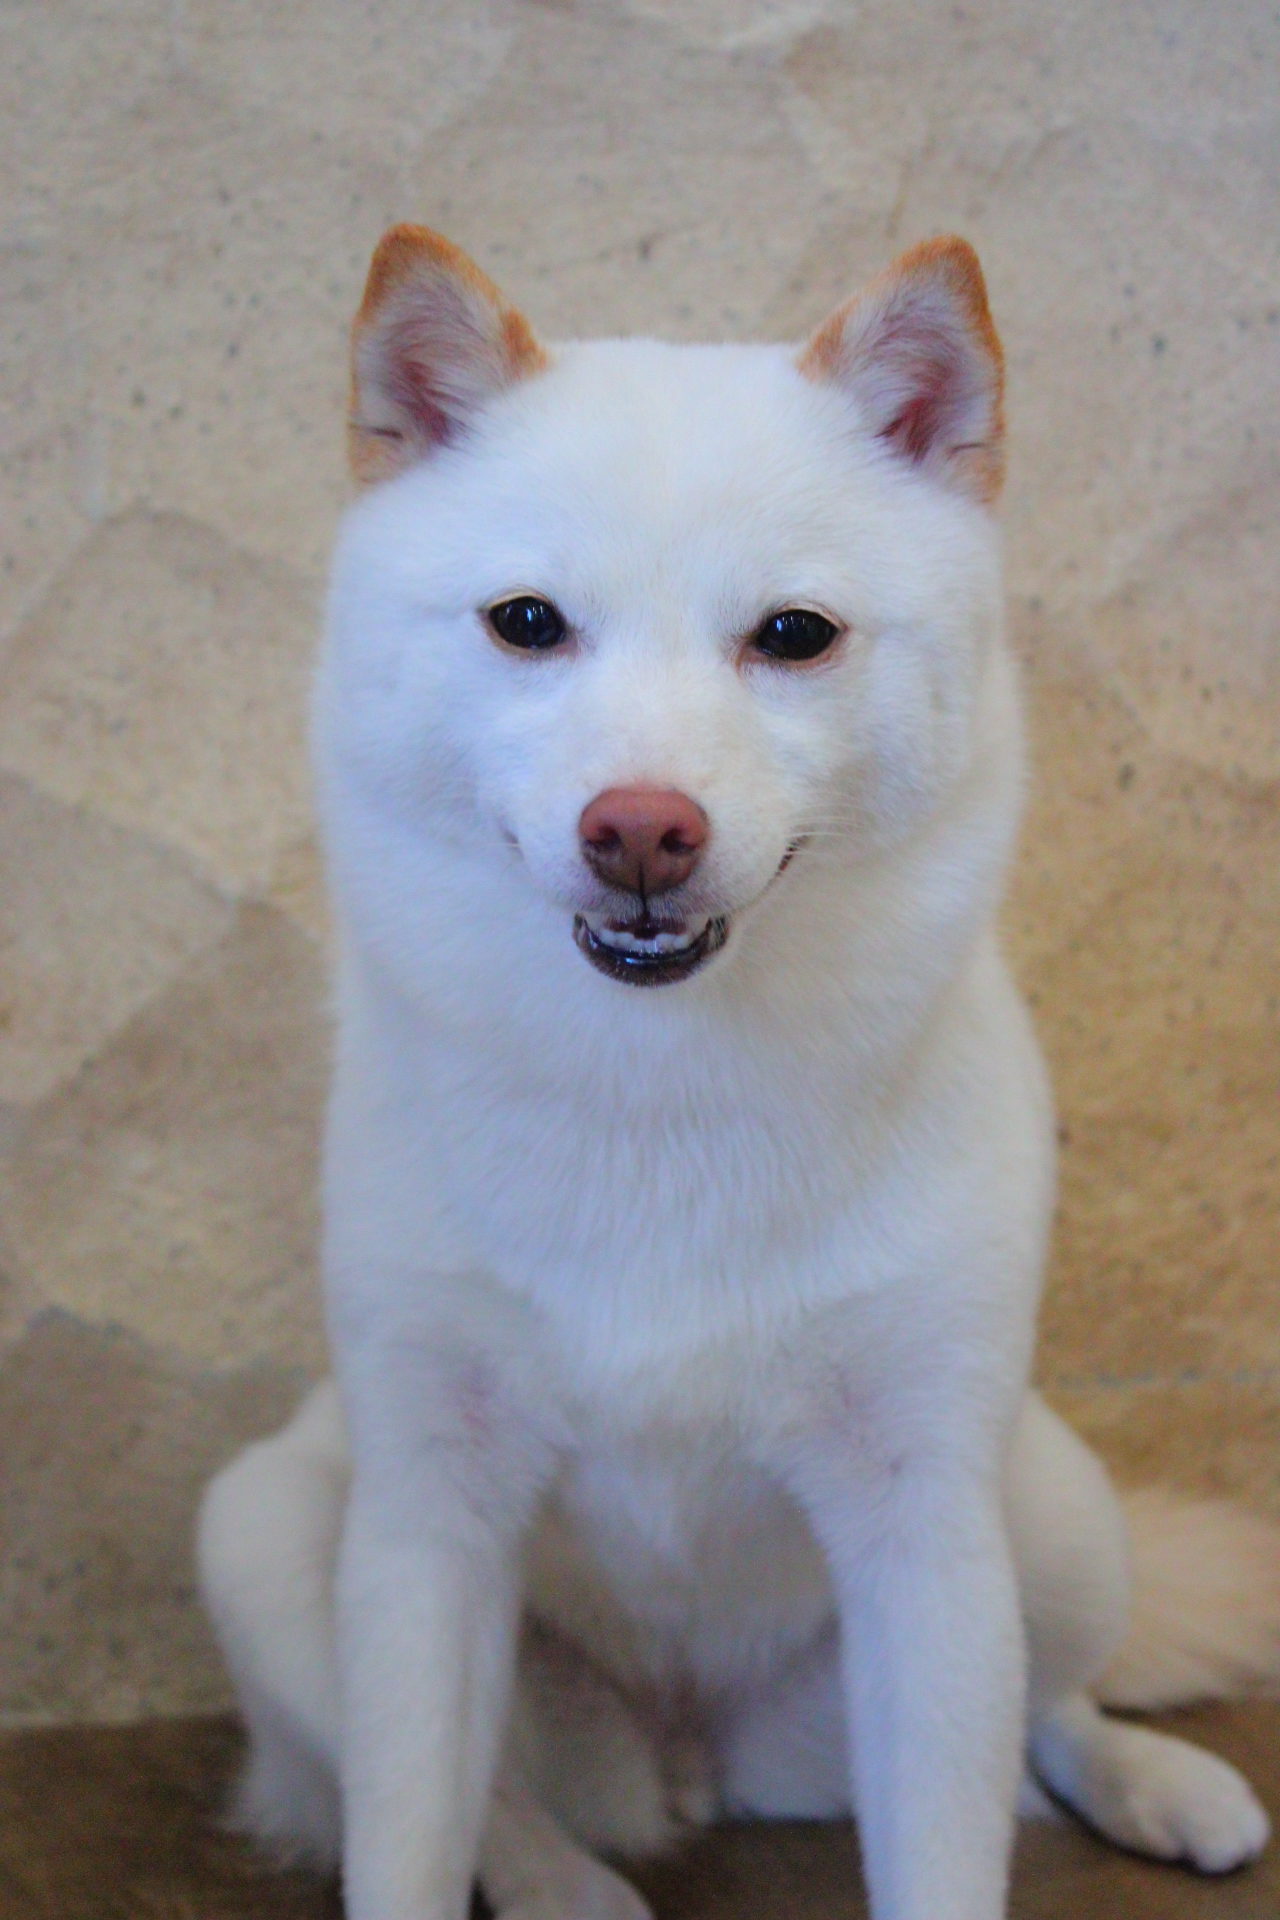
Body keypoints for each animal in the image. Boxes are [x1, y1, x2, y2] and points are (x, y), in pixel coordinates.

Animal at [198, 226, 1280, 1920]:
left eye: (792, 635)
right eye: (526, 622)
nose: (641, 828)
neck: (661, 1098)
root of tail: (699, 1760)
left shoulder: (925, 1531)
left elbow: (952, 1850)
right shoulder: (426, 1523)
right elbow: (411, 1836)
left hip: (1053, 1515)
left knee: (1049, 1711)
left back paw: (1155, 1782)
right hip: (265, 1533)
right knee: (505, 1802)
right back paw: (573, 1885)